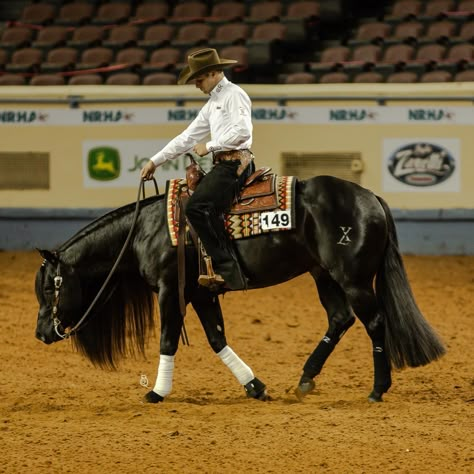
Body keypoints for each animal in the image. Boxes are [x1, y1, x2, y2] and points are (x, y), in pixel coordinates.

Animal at [35, 175, 446, 404]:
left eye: (52, 289)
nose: (41, 333)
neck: (147, 230)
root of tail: (371, 198)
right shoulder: (200, 293)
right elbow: (217, 339)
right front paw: (255, 386)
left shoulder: (170, 290)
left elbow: (168, 339)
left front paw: (156, 392)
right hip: (323, 274)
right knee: (340, 319)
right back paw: (305, 379)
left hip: (354, 279)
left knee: (374, 322)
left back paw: (377, 388)